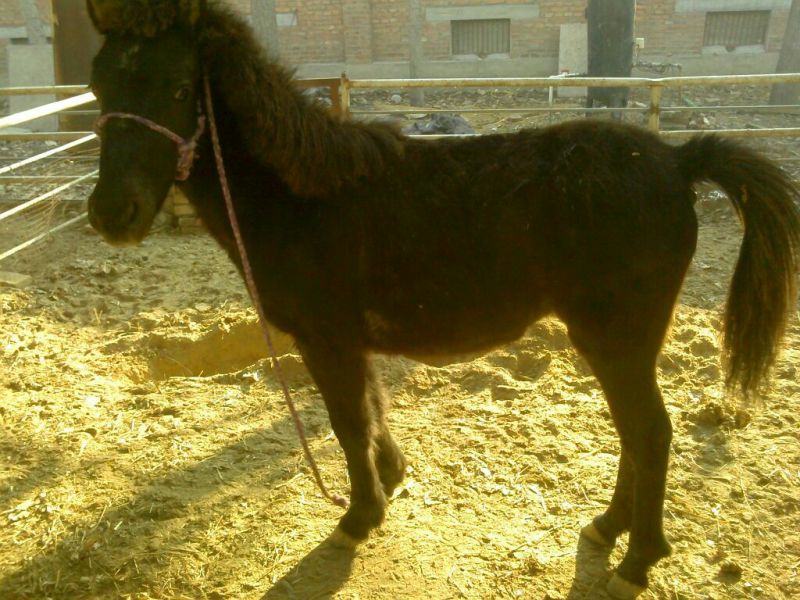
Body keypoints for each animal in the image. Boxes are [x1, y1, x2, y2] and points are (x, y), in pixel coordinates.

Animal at [84, 1, 800, 597]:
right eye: (98, 85)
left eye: (180, 87)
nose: (112, 215)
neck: (303, 197)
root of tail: (677, 161)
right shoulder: (348, 342)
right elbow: (371, 412)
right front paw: (393, 478)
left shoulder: (325, 338)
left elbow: (349, 423)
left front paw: (359, 516)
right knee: (635, 434)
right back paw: (605, 527)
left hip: (616, 340)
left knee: (650, 433)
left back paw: (638, 560)